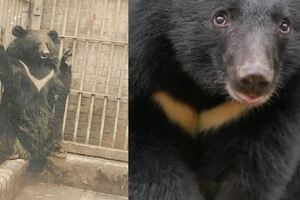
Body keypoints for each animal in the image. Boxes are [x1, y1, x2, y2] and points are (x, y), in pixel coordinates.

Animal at [0, 26, 72, 167]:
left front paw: (67, 57)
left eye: (47, 44)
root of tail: (35, 151)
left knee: (56, 130)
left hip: (53, 125)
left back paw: (59, 151)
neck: (36, 62)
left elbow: (60, 87)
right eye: (37, 44)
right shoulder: (20, 66)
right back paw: (12, 153)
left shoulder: (50, 74)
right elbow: (10, 74)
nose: (45, 53)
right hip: (10, 125)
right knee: (7, 137)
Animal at [131, 0, 300, 200]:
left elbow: (256, 167)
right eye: (220, 18)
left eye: (285, 25)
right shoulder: (152, 90)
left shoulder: (267, 110)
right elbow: (150, 166)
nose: (255, 79)